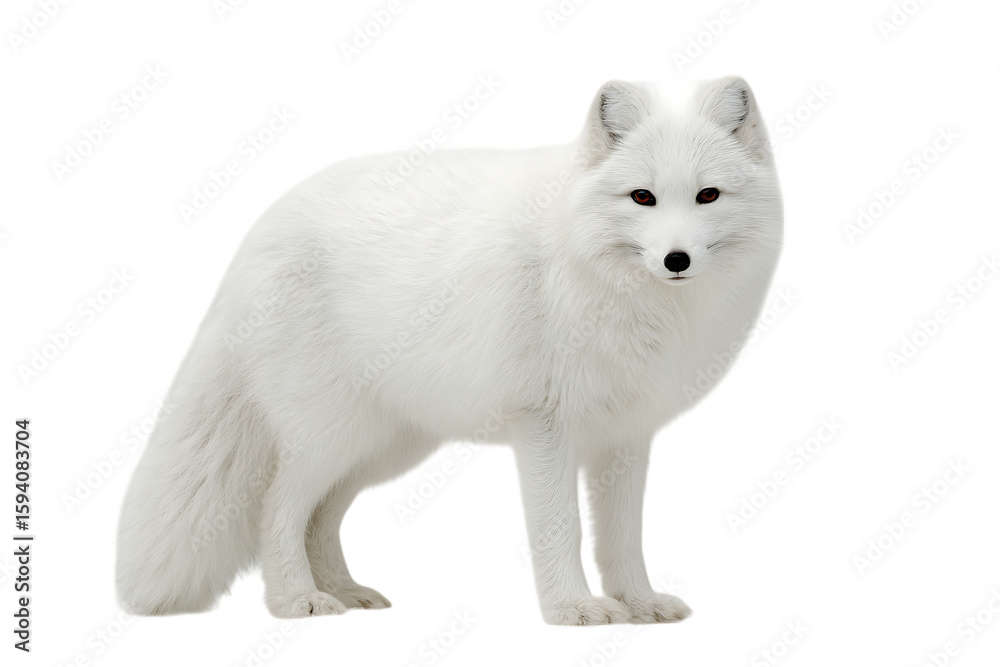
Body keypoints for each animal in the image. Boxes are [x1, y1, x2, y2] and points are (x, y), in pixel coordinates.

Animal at [116, 76, 783, 624]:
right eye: (642, 197)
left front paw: (638, 605)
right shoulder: (544, 425)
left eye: (708, 196)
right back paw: (298, 600)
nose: (677, 259)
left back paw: (346, 592)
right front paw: (572, 609)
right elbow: (561, 528)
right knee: (276, 510)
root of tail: (255, 234)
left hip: (381, 447)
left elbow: (623, 538)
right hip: (328, 436)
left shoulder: (625, 435)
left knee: (320, 519)